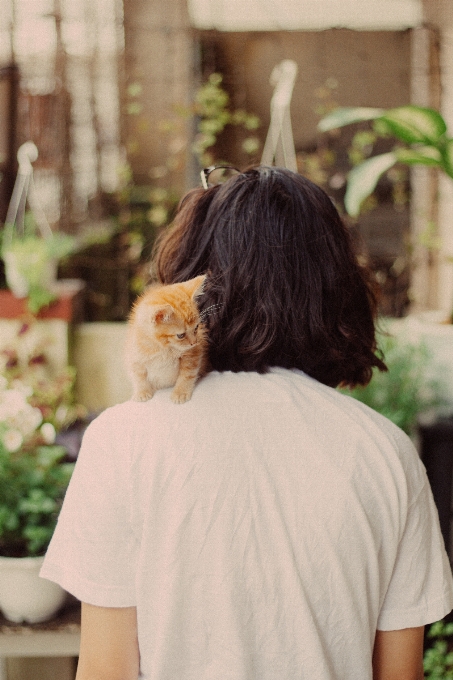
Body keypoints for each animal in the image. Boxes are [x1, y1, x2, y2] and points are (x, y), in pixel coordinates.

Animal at [124, 274, 207, 404]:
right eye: (180, 335)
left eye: (196, 328)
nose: (194, 342)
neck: (164, 348)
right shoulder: (134, 356)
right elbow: (138, 375)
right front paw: (142, 392)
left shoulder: (193, 354)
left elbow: (187, 374)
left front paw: (180, 392)